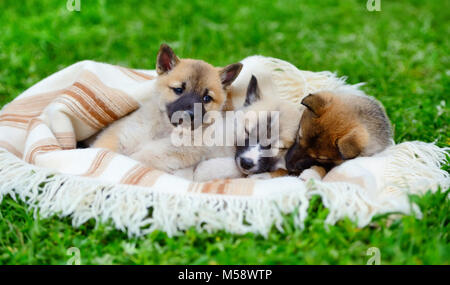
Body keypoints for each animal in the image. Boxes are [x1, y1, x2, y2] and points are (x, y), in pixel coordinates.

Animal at [91, 43, 243, 173]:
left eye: (207, 98)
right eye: (178, 90)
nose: (189, 114)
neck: (164, 131)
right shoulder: (117, 135)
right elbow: (106, 149)